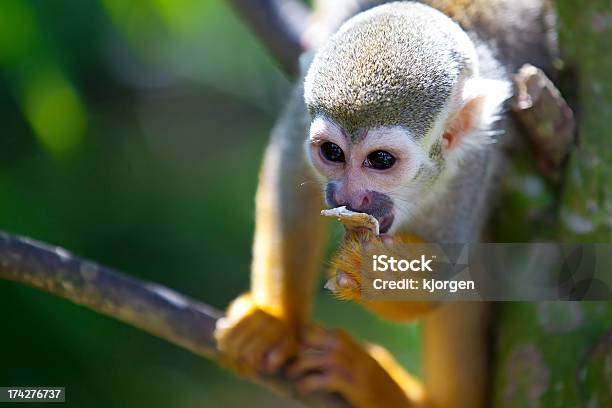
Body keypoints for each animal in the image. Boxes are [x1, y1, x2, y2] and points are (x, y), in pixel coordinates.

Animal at [215, 1, 556, 406]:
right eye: (332, 153)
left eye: (380, 160)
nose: (348, 197)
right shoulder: (302, 114)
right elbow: (289, 179)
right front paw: (276, 321)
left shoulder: (474, 164)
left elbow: (447, 271)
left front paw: (368, 270)